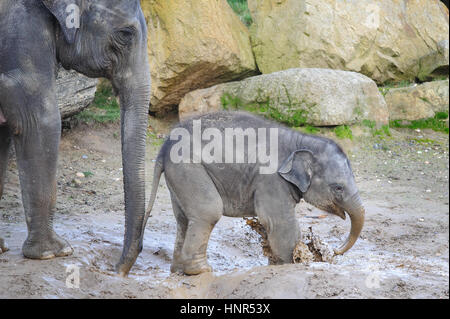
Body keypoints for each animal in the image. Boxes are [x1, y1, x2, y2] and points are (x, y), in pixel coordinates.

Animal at [0, 0, 151, 276]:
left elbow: (4, 133)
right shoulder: (21, 31)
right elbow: (42, 121)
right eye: (125, 34)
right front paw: (54, 252)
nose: (117, 270)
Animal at [142, 112, 364, 276]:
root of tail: (163, 148)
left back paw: (178, 270)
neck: (301, 141)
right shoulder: (271, 180)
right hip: (189, 168)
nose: (335, 250)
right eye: (338, 188)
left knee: (183, 218)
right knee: (209, 212)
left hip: (179, 176)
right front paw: (295, 263)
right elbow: (278, 221)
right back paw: (201, 270)